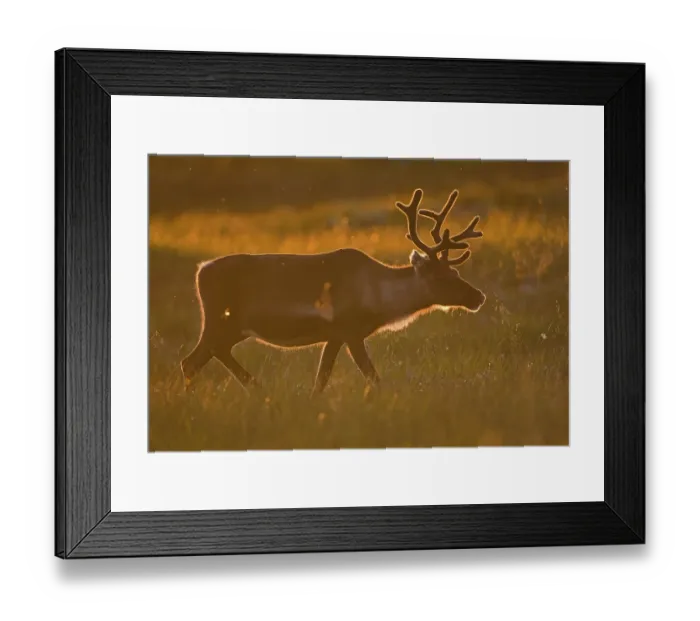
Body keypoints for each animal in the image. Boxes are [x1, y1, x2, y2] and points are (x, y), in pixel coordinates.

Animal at [180, 188, 486, 395]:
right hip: (221, 321)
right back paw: (250, 387)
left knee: (202, 357)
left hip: (231, 327)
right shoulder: (348, 330)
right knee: (192, 360)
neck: (378, 295)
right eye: (441, 277)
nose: (479, 297)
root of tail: (200, 270)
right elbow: (370, 377)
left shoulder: (335, 336)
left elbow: (322, 379)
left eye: (456, 272)